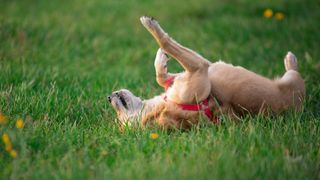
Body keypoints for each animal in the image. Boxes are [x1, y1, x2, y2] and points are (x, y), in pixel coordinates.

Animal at [108, 16, 304, 129]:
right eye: (121, 120)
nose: (108, 97)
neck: (164, 106)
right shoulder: (199, 68)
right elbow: (165, 42)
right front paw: (151, 25)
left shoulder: (190, 72)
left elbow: (162, 76)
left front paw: (161, 59)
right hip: (294, 82)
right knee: (295, 73)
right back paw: (291, 60)